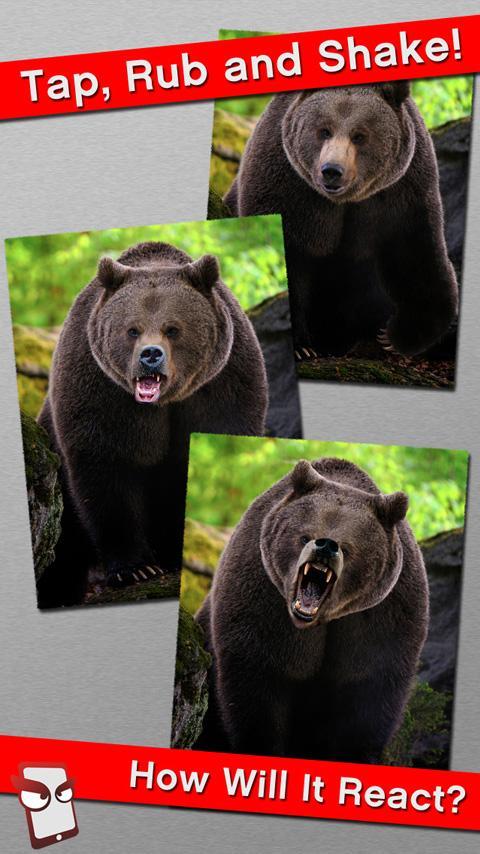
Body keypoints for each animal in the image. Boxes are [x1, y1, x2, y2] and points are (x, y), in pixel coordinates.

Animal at [36, 241, 268, 608]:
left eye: (173, 328)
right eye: (132, 329)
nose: (150, 355)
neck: (164, 404)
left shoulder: (223, 385)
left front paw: (171, 555)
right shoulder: (101, 389)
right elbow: (106, 468)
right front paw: (136, 568)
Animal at [195, 457, 429, 764]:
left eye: (348, 546)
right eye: (305, 535)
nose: (326, 545)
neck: (320, 620)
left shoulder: (382, 616)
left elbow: (369, 696)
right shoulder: (263, 598)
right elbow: (257, 684)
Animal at [225, 83, 458, 360]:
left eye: (359, 135)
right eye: (324, 131)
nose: (332, 170)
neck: (344, 201)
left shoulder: (403, 190)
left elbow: (416, 256)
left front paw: (394, 336)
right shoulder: (288, 186)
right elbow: (295, 259)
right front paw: (302, 347)